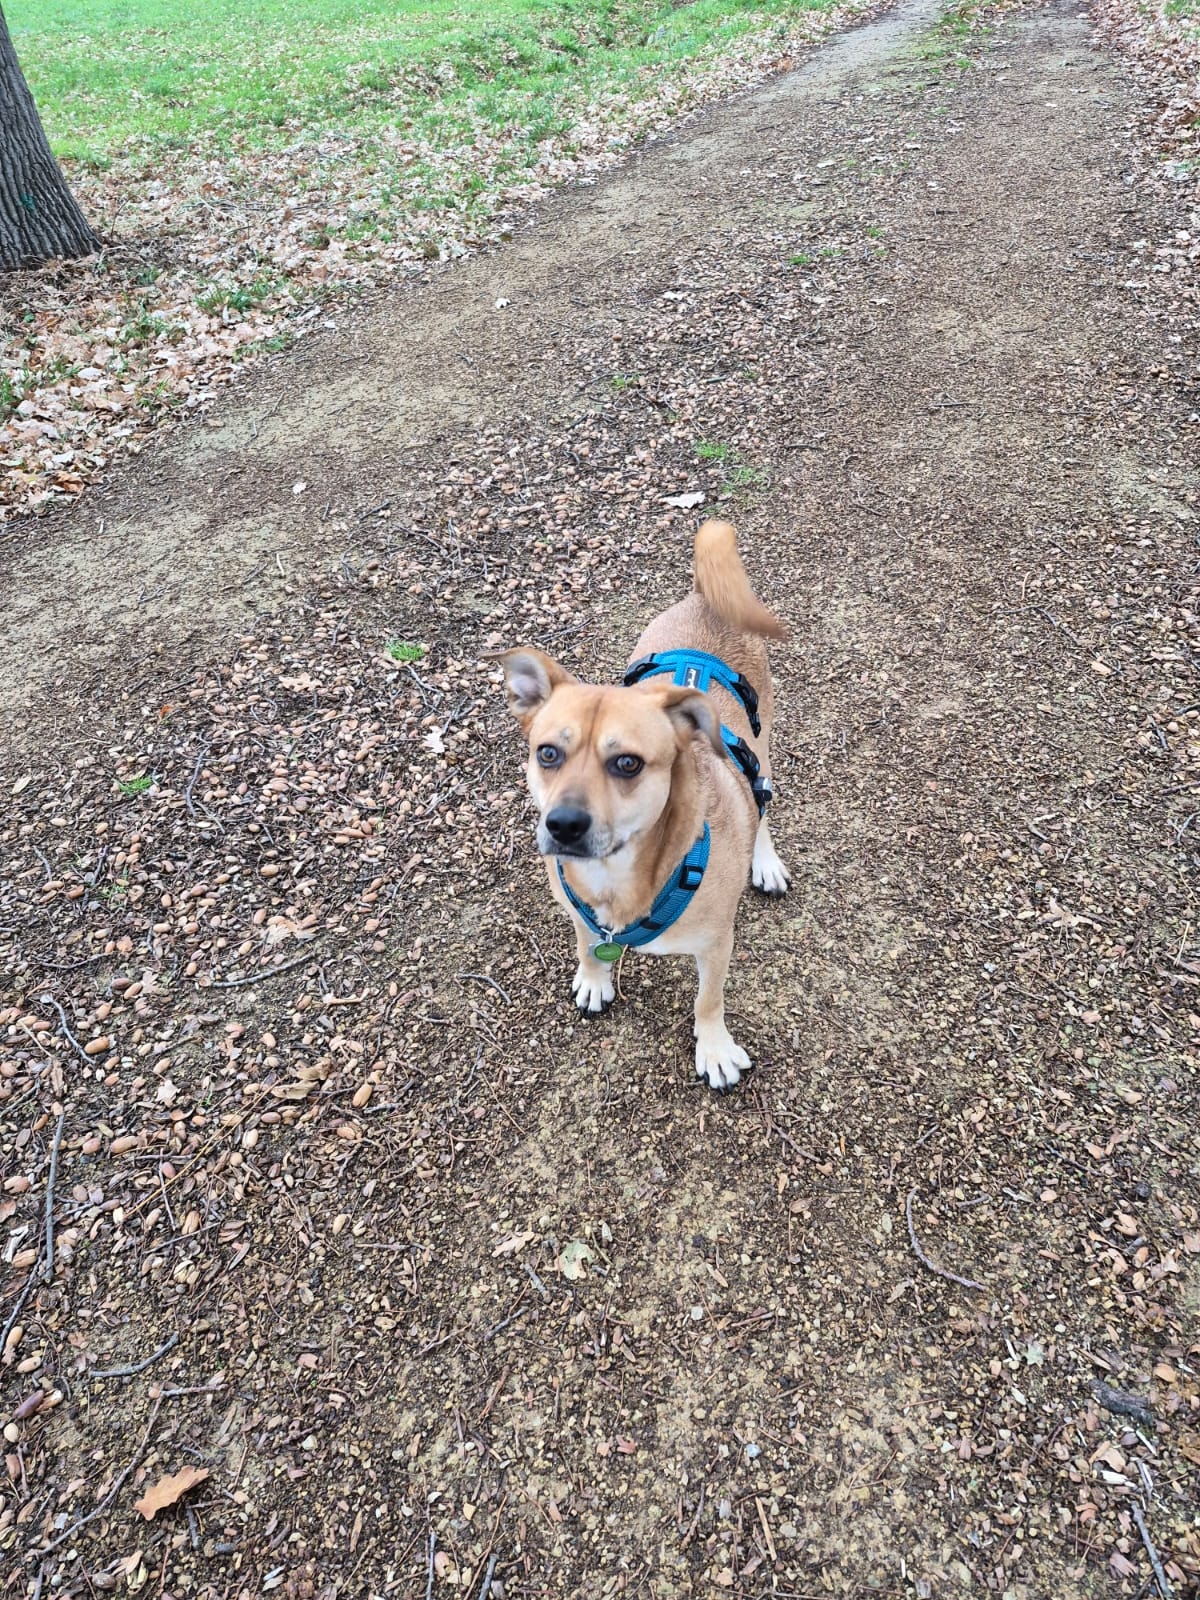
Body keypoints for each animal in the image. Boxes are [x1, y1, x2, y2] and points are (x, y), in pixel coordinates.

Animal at [493, 519, 788, 1090]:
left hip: (761, 745)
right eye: (547, 753)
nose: (563, 825)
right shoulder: (580, 913)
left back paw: (763, 860)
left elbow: (708, 1001)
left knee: (763, 800)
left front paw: (714, 1049)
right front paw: (594, 978)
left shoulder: (717, 944)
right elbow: (586, 944)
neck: (618, 878)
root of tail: (704, 598)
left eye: (627, 763)